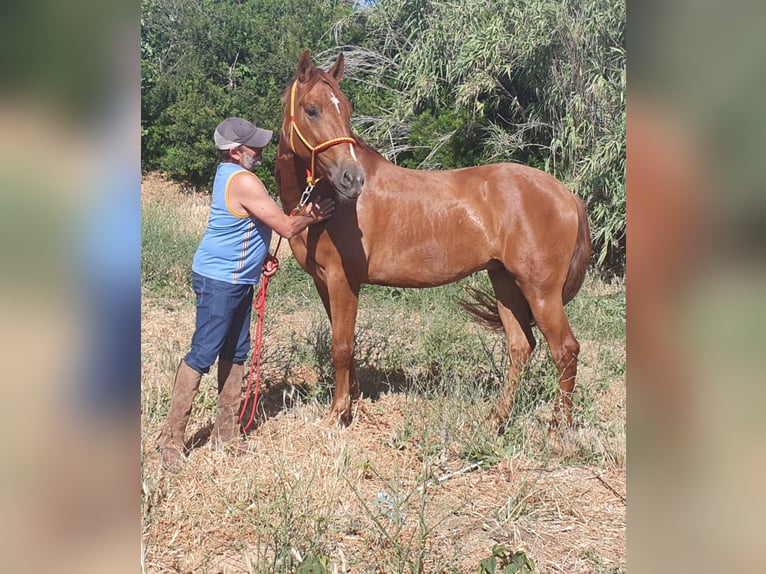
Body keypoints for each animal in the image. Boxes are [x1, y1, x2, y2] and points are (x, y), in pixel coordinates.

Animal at [276, 50, 592, 432]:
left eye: (347, 110)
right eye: (311, 109)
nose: (351, 179)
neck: (327, 201)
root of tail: (567, 195)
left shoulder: (342, 280)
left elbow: (341, 346)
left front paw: (338, 414)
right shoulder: (326, 282)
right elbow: (346, 344)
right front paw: (353, 401)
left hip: (541, 292)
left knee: (565, 350)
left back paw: (558, 426)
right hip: (505, 282)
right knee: (521, 347)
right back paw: (496, 418)